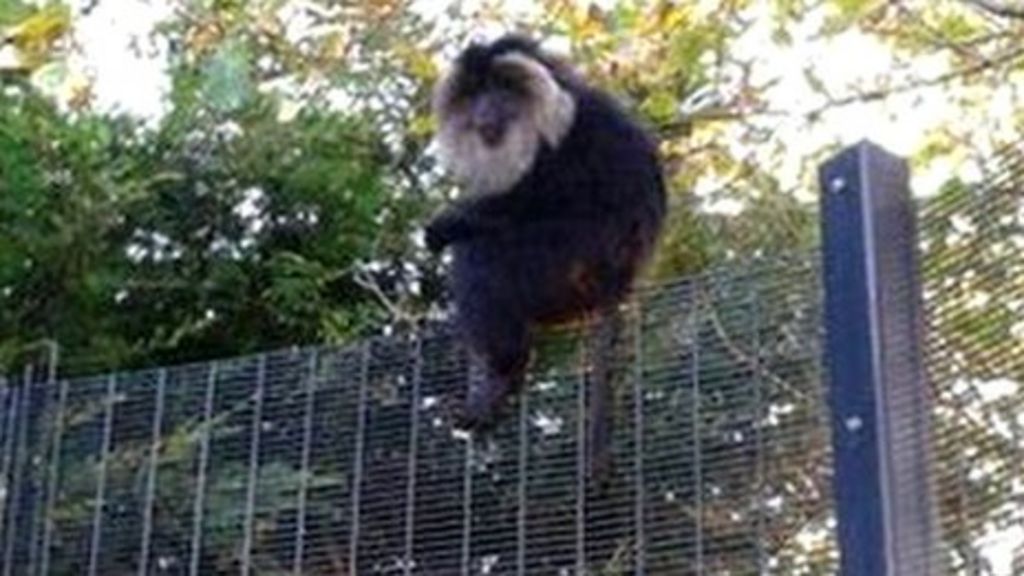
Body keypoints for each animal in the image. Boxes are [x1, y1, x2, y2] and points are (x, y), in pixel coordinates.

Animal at [425, 35, 666, 482]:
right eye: (477, 92)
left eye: (502, 89)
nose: (485, 110)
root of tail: (621, 273)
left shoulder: (565, 138)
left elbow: (533, 202)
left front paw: (450, 220)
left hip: (567, 261)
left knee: (480, 258)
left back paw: (502, 373)